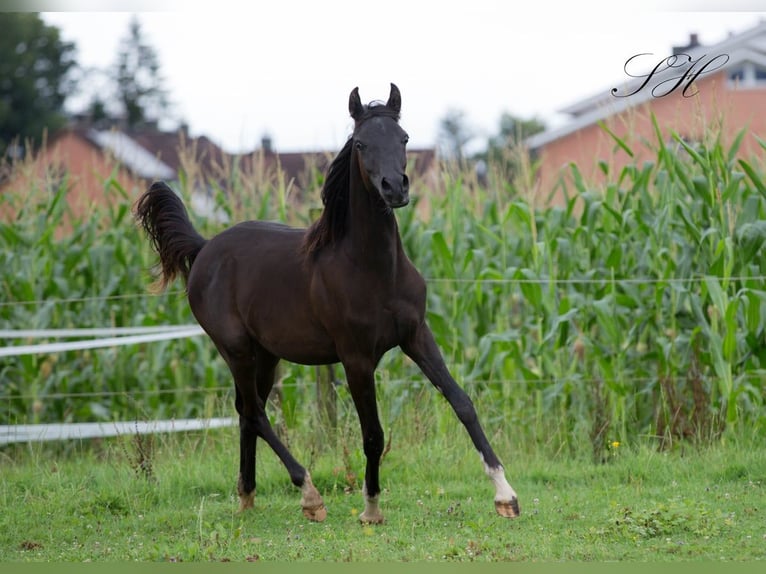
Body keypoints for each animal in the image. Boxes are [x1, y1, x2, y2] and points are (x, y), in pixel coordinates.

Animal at [136, 83, 520, 524]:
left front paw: (506, 496)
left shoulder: (417, 337)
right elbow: (373, 434)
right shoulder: (356, 358)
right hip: (235, 348)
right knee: (255, 412)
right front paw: (371, 508)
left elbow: (462, 403)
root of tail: (203, 249)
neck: (373, 270)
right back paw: (309, 494)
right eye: (361, 143)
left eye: (404, 138)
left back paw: (248, 497)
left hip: (266, 354)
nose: (395, 188)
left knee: (246, 411)